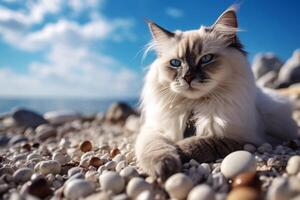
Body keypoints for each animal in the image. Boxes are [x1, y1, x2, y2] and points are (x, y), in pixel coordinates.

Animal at [135, 6, 298, 181]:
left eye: (206, 59)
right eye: (175, 63)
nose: (188, 77)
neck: (194, 108)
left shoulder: (247, 139)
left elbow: (204, 142)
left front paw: (179, 150)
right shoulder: (154, 130)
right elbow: (155, 147)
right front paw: (164, 166)